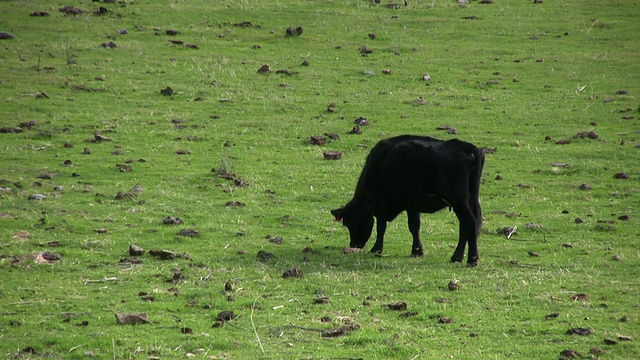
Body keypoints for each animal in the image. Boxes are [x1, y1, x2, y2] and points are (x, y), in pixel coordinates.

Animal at [332, 134, 482, 266]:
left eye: (350, 222)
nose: (354, 245)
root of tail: (457, 144)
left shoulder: (383, 204)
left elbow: (381, 227)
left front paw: (376, 249)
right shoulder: (412, 204)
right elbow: (414, 226)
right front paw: (417, 250)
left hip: (459, 201)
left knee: (470, 223)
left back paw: (471, 259)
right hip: (466, 201)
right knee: (464, 227)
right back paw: (457, 257)